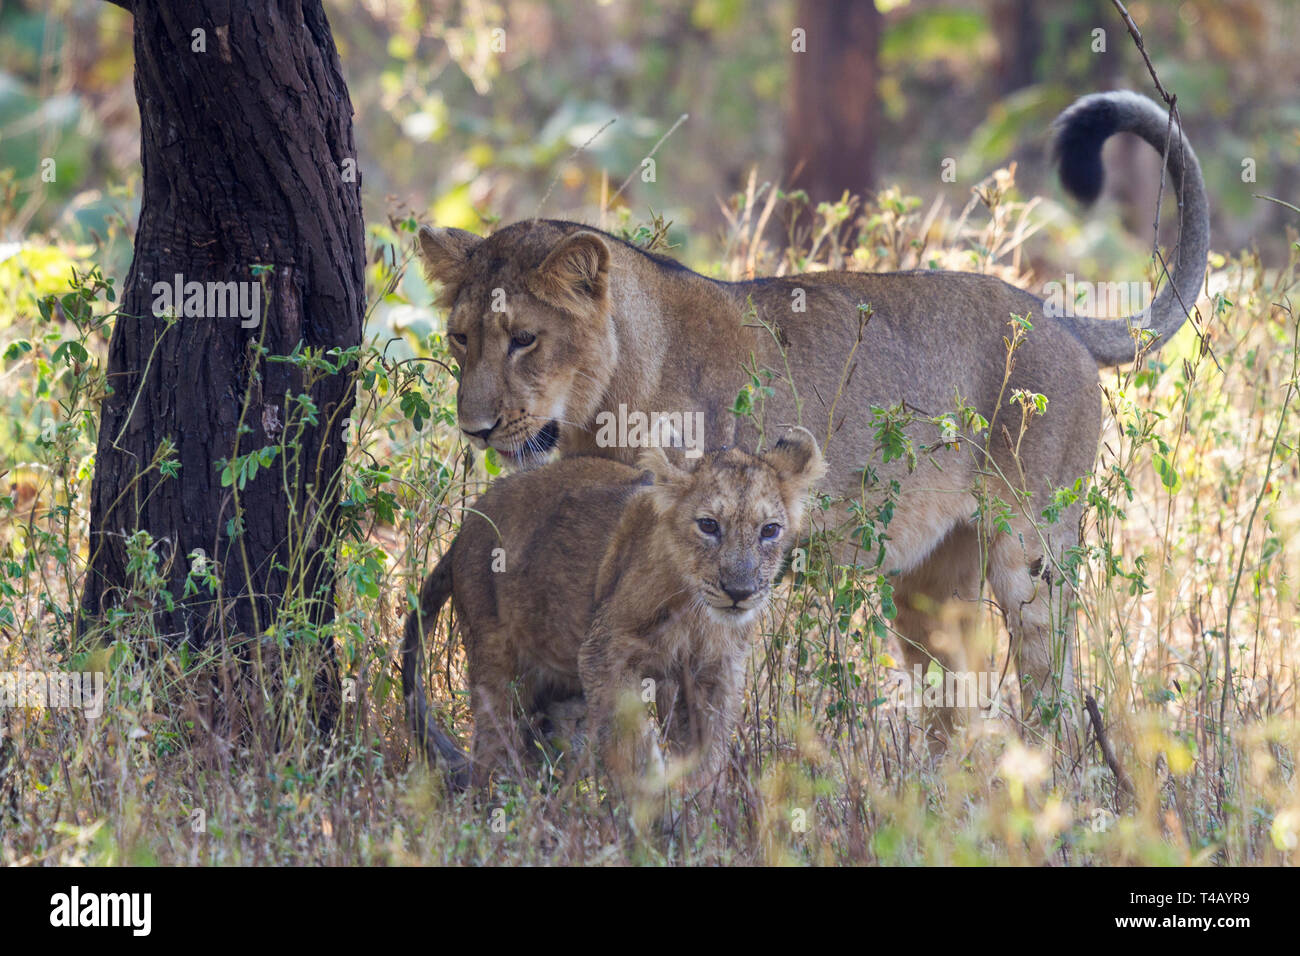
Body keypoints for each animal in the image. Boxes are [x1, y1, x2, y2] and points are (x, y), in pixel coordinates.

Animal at [401, 429, 825, 791]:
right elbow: (632, 744)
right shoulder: (606, 652)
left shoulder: (714, 670)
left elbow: (708, 750)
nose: (739, 592)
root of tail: (462, 532)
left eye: (769, 530)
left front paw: (697, 809)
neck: (697, 613)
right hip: (494, 656)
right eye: (708, 525)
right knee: (494, 742)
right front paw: (652, 807)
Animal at [414, 91, 1209, 744]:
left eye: (524, 339)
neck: (602, 398)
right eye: (460, 339)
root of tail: (1059, 316)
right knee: (957, 710)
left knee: (1059, 700)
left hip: (1033, 552)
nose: (476, 428)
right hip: (931, 584)